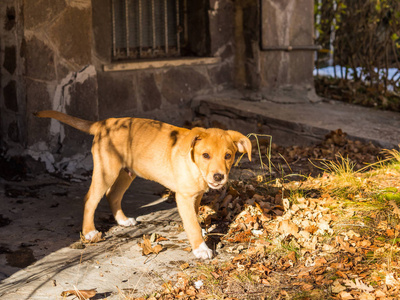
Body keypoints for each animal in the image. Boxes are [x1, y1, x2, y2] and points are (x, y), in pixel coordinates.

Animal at [36, 111, 250, 258]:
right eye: (205, 155)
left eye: (228, 156)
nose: (218, 177)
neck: (195, 166)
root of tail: (105, 123)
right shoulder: (184, 197)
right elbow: (192, 224)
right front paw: (201, 248)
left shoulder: (195, 196)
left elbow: (195, 218)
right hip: (107, 170)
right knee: (91, 199)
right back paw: (89, 232)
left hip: (126, 173)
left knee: (112, 195)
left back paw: (122, 221)